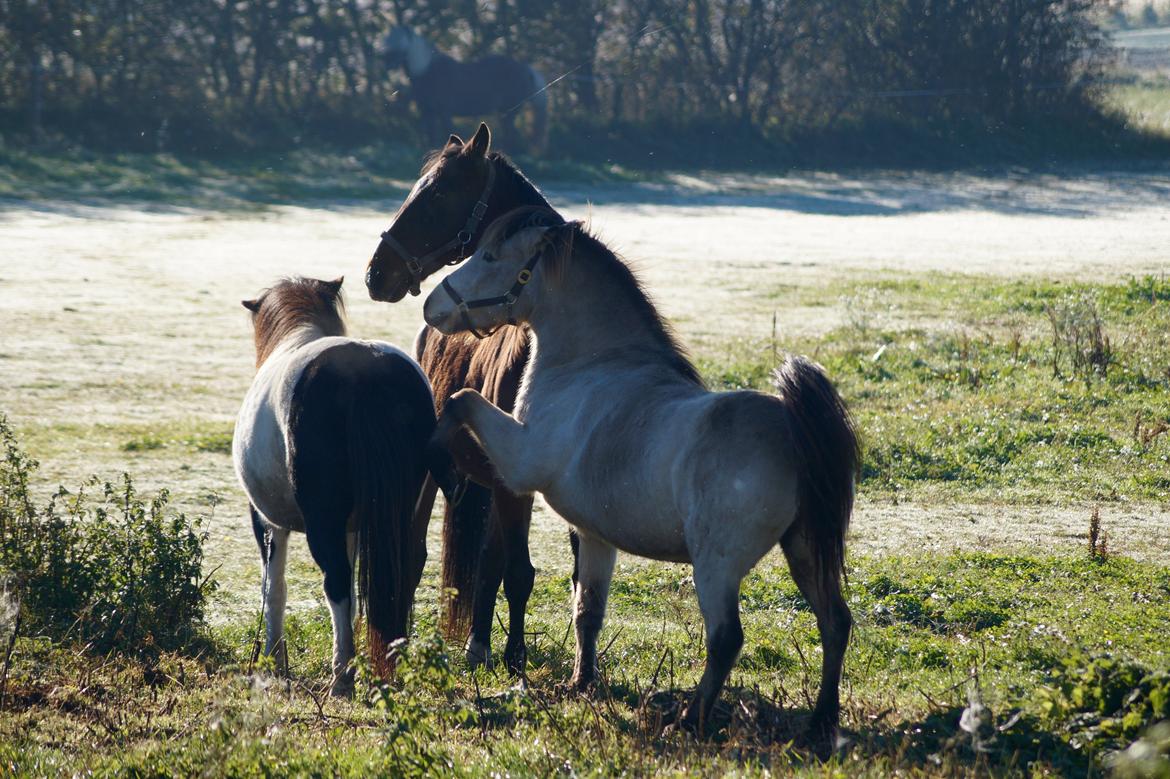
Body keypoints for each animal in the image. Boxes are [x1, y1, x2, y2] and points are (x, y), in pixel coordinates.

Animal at [230, 274, 449, 692]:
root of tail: (367, 372)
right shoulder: (353, 528)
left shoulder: (267, 521)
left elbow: (274, 589)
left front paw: (273, 660)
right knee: (396, 573)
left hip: (322, 522)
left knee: (336, 581)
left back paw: (342, 675)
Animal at [365, 122, 566, 673]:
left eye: (436, 196)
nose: (376, 274)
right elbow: (513, 569)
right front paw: (514, 662)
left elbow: (519, 569)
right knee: (414, 554)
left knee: (486, 560)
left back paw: (477, 643)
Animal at [381, 26, 549, 150]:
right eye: (387, 40)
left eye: (401, 43)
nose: (387, 65)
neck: (427, 71)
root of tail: (527, 69)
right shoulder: (427, 112)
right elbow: (430, 137)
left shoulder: (444, 112)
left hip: (508, 113)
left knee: (512, 138)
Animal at [421, 208, 861, 739]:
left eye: (489, 256)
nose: (432, 307)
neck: (593, 368)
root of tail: (792, 431)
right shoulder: (593, 535)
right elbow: (588, 611)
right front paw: (581, 684)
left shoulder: (519, 464)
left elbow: (459, 401)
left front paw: (443, 461)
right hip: (804, 550)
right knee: (834, 623)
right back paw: (821, 723)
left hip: (716, 566)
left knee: (726, 639)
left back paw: (690, 722)